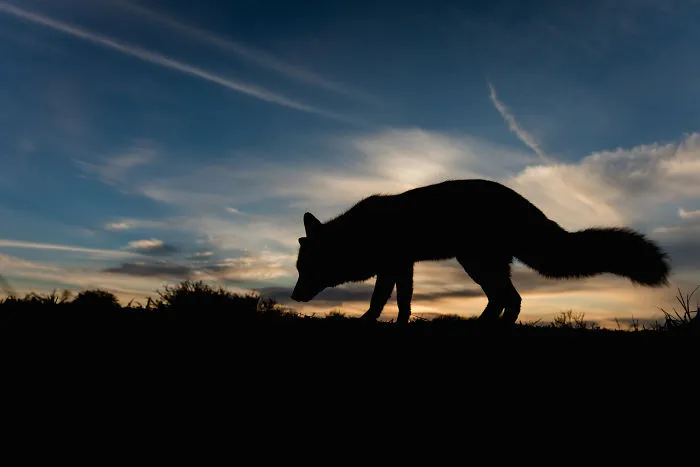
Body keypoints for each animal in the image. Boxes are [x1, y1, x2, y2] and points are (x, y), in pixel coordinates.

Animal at [291, 179, 670, 325]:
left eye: (305, 268)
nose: (293, 297)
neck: (360, 233)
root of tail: (520, 201)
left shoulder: (392, 266)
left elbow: (379, 300)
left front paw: (367, 322)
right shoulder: (403, 267)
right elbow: (403, 302)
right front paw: (399, 325)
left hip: (474, 263)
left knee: (509, 299)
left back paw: (487, 329)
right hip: (481, 265)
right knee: (506, 299)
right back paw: (485, 325)